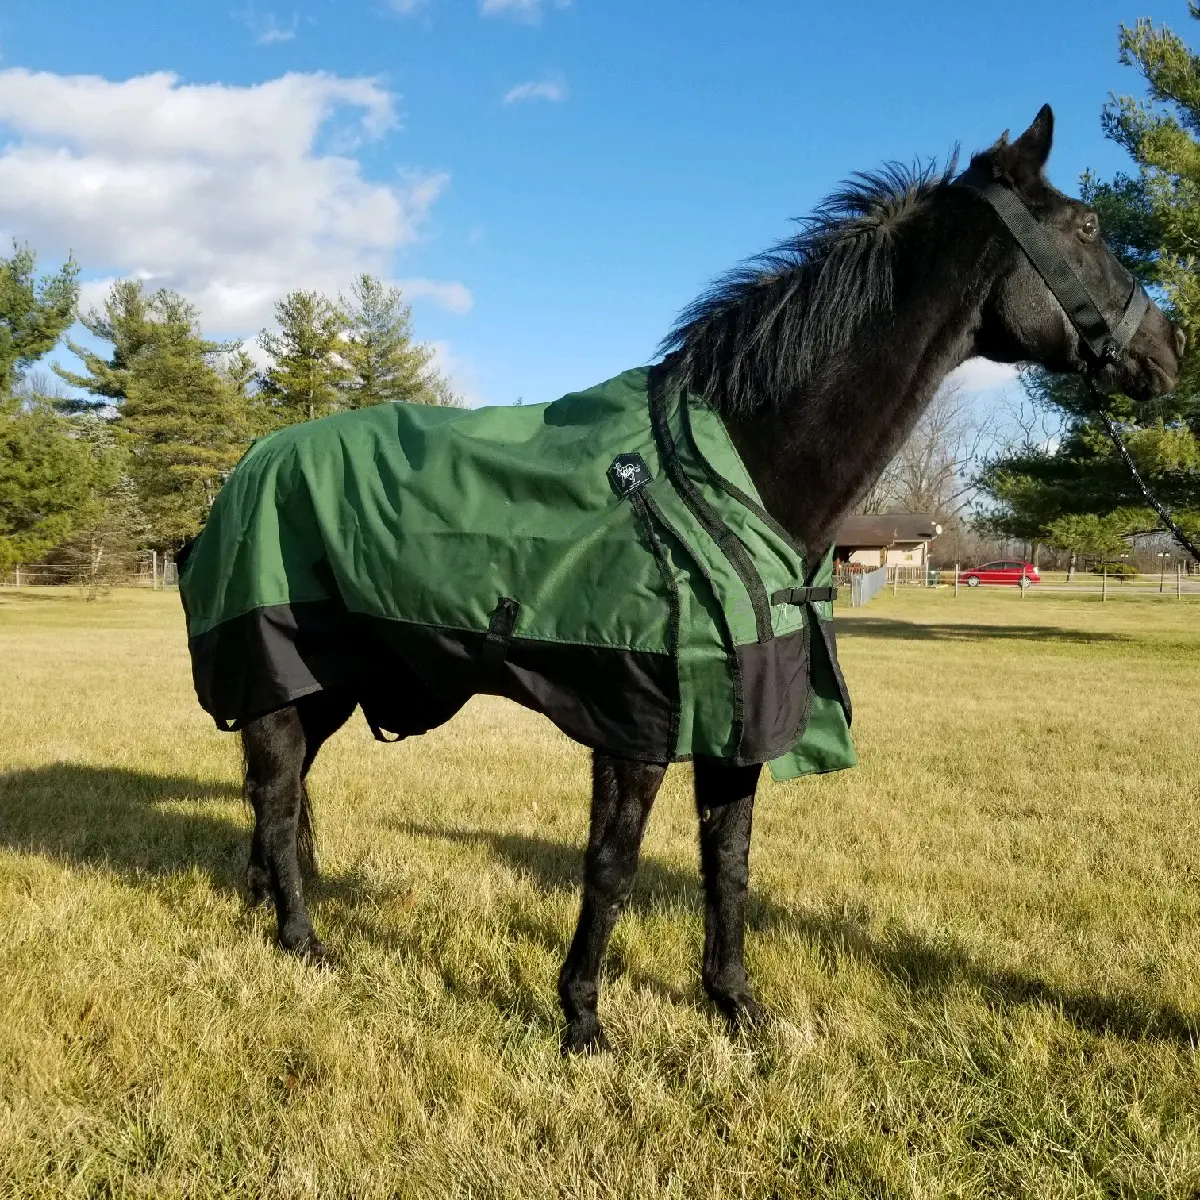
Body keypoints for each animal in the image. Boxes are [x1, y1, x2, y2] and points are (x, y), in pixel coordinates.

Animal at [189, 105, 1183, 1055]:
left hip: (324, 684)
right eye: (1088, 225)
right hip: (278, 673)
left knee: (283, 794)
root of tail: (251, 464)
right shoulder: (632, 724)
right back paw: (303, 942)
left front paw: (735, 1006)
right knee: (276, 793)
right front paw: (583, 1022)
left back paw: (271, 908)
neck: (734, 467)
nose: (1171, 350)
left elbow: (727, 864)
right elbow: (612, 865)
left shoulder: (744, 719)